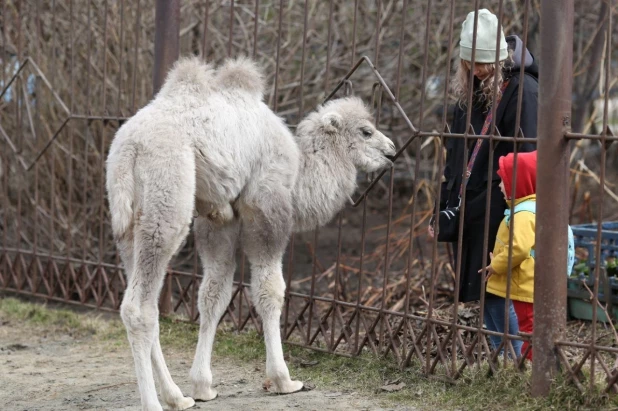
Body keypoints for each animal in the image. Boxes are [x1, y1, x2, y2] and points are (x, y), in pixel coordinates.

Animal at [106, 57, 394, 411]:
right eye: (366, 131)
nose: (392, 151)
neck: (299, 174)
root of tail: (129, 148)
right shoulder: (266, 203)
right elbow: (269, 290)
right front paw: (283, 379)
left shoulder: (218, 219)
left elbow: (213, 294)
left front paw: (203, 385)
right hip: (166, 199)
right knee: (139, 308)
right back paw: (154, 402)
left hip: (128, 222)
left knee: (148, 303)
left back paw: (177, 396)